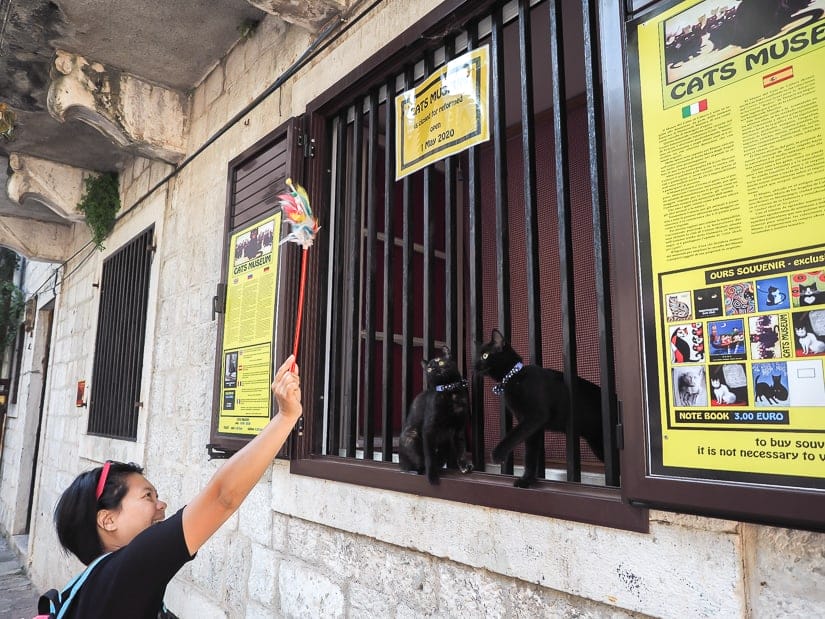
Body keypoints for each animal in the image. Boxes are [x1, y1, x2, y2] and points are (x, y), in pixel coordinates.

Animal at [398, 344, 470, 484]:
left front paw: (464, 465)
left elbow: (461, 448)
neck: (450, 392)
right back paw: (416, 470)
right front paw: (432, 477)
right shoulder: (429, 428)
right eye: (429, 368)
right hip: (411, 437)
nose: (435, 369)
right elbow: (429, 456)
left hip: (446, 443)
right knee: (416, 463)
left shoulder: (459, 427)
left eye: (441, 362)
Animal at [474, 330, 600, 490]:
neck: (514, 377)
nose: (474, 365)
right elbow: (530, 454)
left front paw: (498, 453)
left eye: (485, 355)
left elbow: (514, 435)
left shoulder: (535, 416)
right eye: (476, 356)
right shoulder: (533, 427)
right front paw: (526, 479)